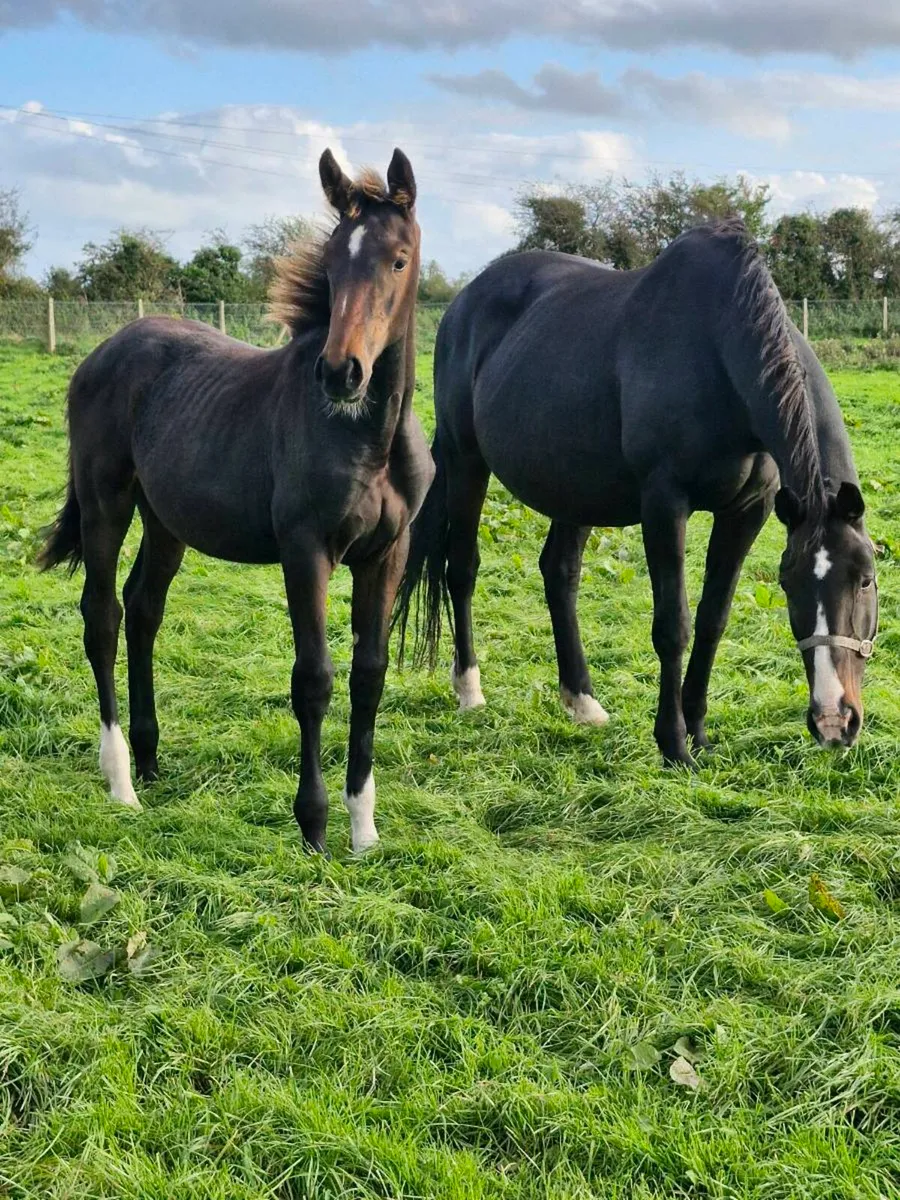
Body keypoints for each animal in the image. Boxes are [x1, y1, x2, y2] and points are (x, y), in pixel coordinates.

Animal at [39, 148, 434, 853]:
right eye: (331, 263)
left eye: (398, 258)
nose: (341, 373)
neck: (371, 437)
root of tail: (101, 353)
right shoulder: (306, 551)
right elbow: (314, 678)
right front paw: (314, 826)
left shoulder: (388, 552)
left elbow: (370, 673)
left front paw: (364, 829)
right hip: (106, 503)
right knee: (103, 615)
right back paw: (122, 782)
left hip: (165, 520)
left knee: (143, 609)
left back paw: (151, 758)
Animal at [395, 220, 877, 767]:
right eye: (790, 582)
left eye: (865, 579)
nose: (834, 720)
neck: (718, 351)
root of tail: (463, 302)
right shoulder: (664, 504)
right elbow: (673, 625)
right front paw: (673, 744)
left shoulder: (747, 511)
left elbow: (713, 620)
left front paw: (699, 732)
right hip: (466, 460)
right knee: (462, 567)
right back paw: (470, 689)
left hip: (572, 485)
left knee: (559, 573)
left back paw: (582, 700)